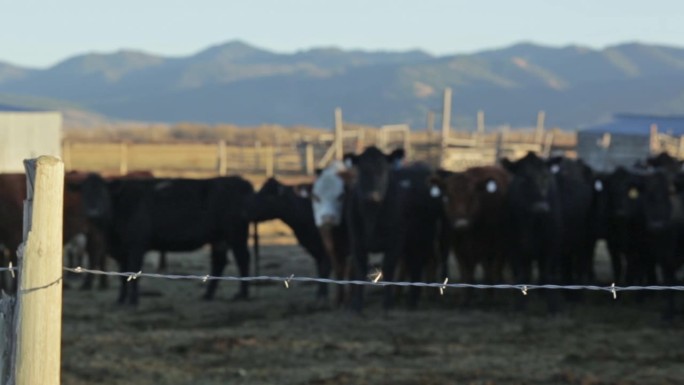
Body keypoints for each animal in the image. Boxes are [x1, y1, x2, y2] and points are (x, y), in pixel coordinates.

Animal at [82, 176, 254, 304]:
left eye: (103, 193)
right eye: (86, 194)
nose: (93, 212)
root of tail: (241, 181)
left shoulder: (136, 246)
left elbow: (134, 272)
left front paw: (132, 301)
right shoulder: (122, 251)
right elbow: (123, 276)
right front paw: (120, 300)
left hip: (236, 234)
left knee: (243, 259)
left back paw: (243, 294)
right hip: (219, 239)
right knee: (219, 262)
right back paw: (208, 295)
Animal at [430, 166, 510, 304]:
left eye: (472, 196)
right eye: (448, 196)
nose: (461, 223)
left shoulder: (494, 246)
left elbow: (490, 269)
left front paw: (490, 297)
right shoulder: (458, 246)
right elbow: (466, 272)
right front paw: (466, 299)